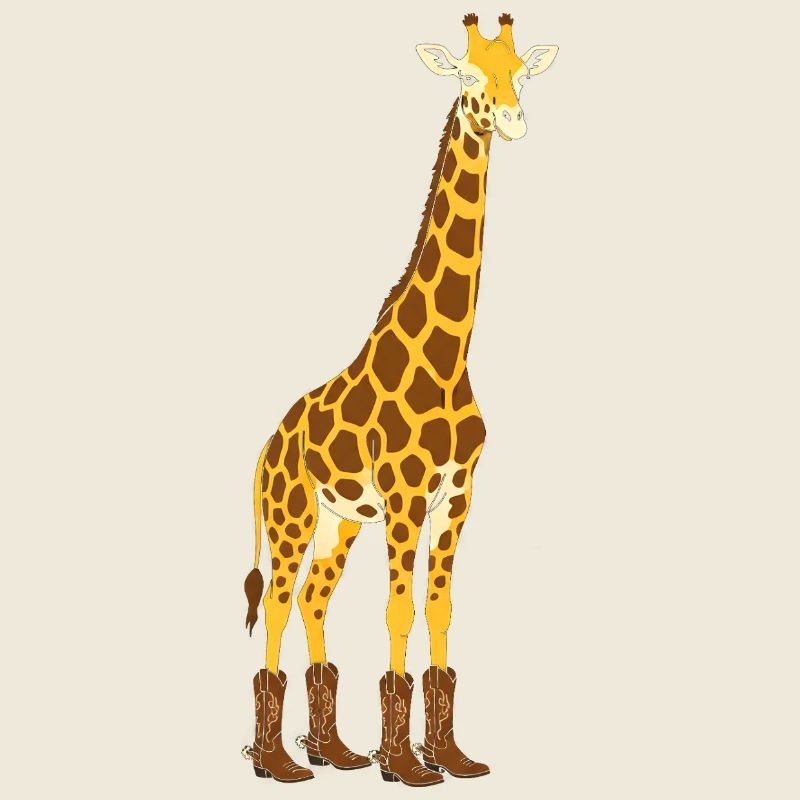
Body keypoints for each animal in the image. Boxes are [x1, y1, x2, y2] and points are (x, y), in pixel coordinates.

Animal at [241, 13, 558, 786]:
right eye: (469, 77)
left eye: (520, 74)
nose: (513, 119)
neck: (450, 358)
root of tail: (267, 444)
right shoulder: (408, 497)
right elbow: (400, 612)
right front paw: (405, 765)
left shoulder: (458, 496)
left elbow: (439, 612)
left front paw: (447, 755)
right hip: (293, 514)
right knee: (278, 603)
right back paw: (277, 761)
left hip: (340, 522)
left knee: (313, 598)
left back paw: (332, 750)